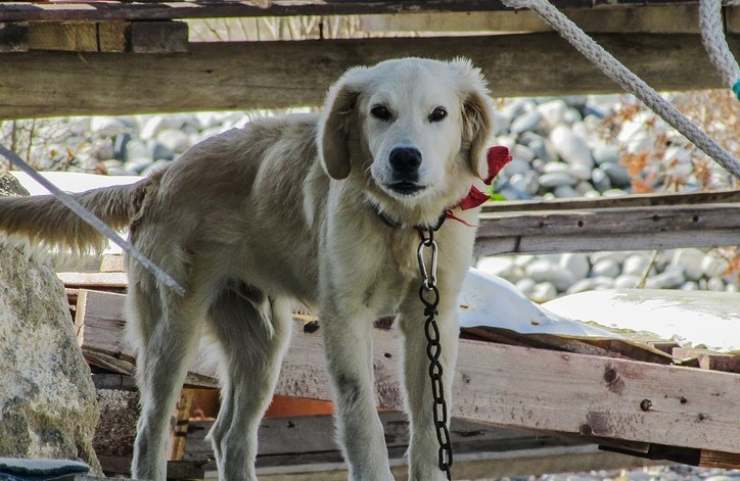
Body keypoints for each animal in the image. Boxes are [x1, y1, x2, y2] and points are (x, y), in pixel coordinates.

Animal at [1, 57, 498, 480]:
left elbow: (430, 430)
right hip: (173, 329)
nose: (405, 158)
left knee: (230, 436)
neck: (403, 224)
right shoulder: (346, 317)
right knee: (151, 433)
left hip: (264, 342)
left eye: (439, 114)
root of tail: (159, 178)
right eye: (380, 112)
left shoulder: (431, 318)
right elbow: (363, 424)